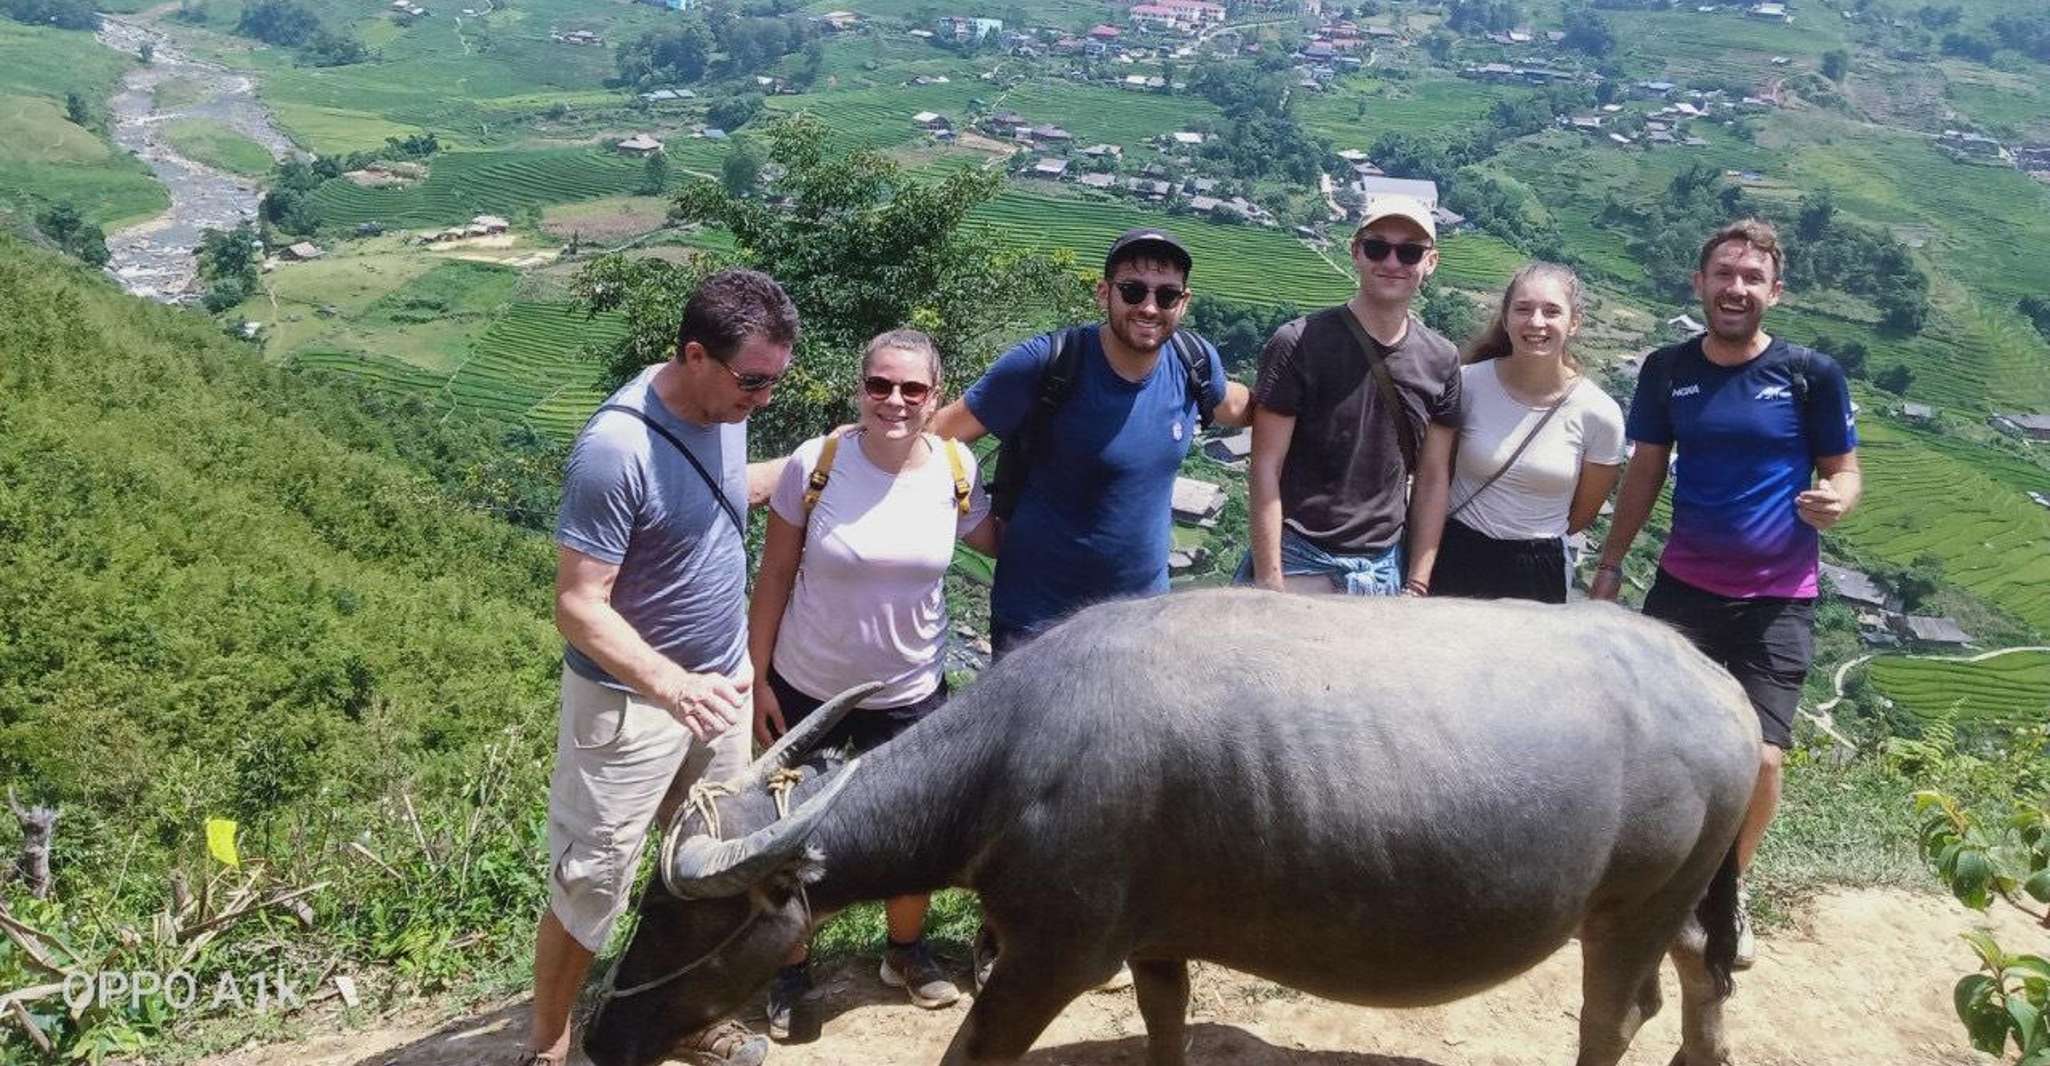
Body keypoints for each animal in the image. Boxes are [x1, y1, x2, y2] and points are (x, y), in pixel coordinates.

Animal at [582, 590, 1763, 1066]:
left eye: (683, 921)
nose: (601, 1038)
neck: (1013, 763)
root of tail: (1723, 693)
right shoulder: (1154, 943)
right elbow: (1163, 1025)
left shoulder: (1049, 957)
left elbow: (971, 1052)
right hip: (1681, 897)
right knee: (1699, 972)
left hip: (1628, 907)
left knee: (1613, 1012)